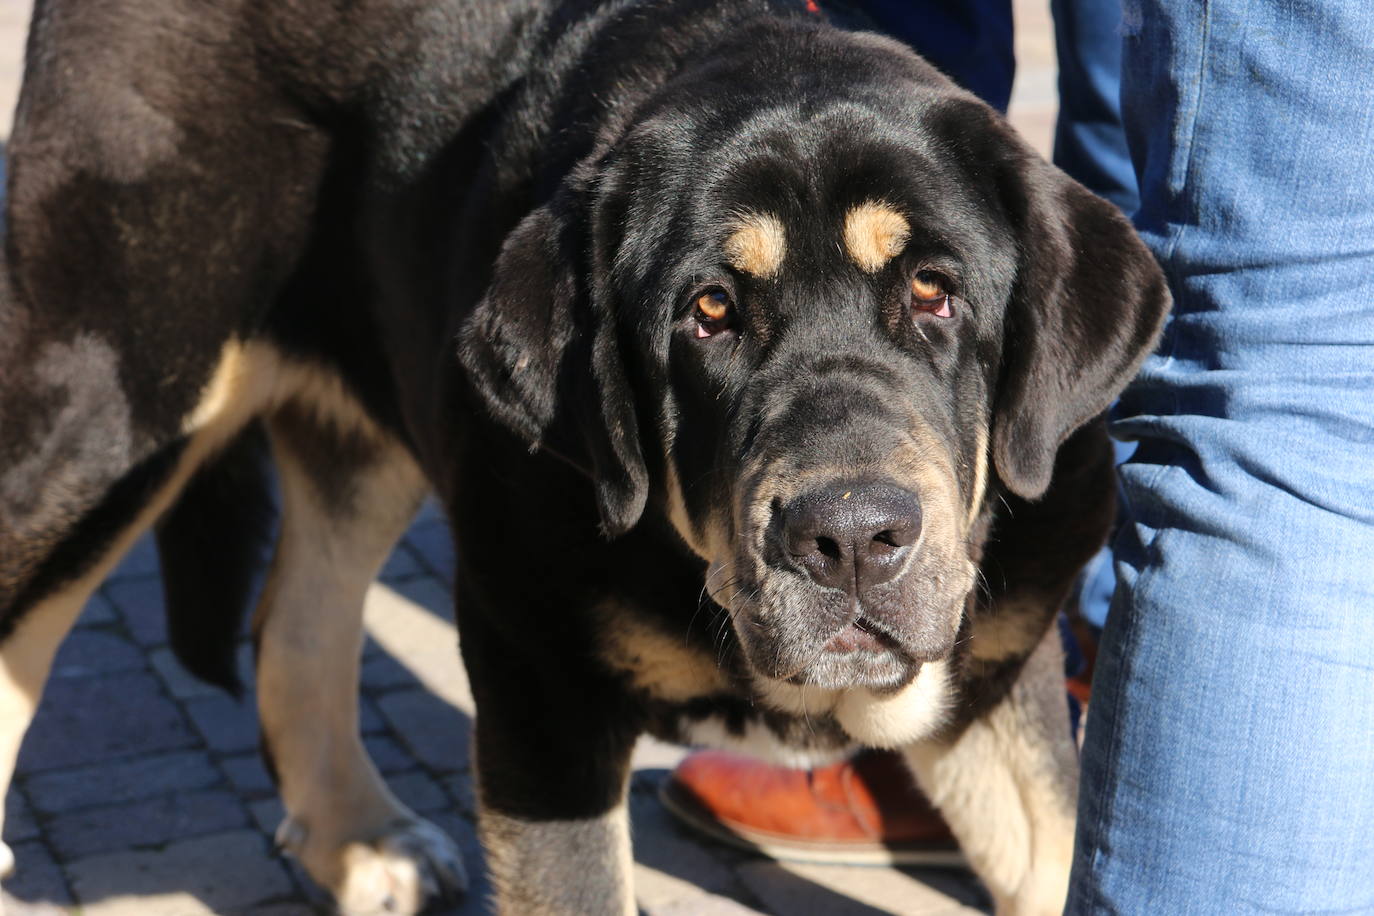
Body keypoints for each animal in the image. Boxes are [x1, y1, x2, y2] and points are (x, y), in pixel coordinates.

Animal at [0, 0, 1170, 911]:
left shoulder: (1001, 672)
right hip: (102, 419)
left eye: (934, 291)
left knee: (295, 625)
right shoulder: (539, 688)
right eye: (709, 312)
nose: (849, 537)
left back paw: (359, 841)